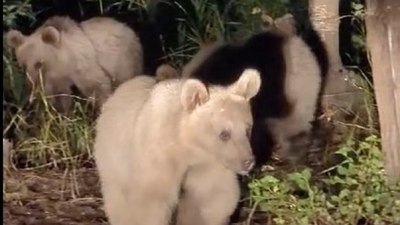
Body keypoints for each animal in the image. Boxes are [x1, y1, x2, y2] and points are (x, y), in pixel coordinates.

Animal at [5, 15, 143, 112]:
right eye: (22, 65)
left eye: (38, 63)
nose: (31, 85)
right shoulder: (57, 81)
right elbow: (62, 98)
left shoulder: (82, 66)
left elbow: (97, 86)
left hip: (124, 60)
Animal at [94, 68, 262, 225]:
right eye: (224, 134)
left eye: (248, 129)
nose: (248, 161)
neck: (188, 146)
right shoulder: (158, 155)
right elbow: (151, 201)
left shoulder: (208, 163)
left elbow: (209, 198)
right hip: (114, 155)